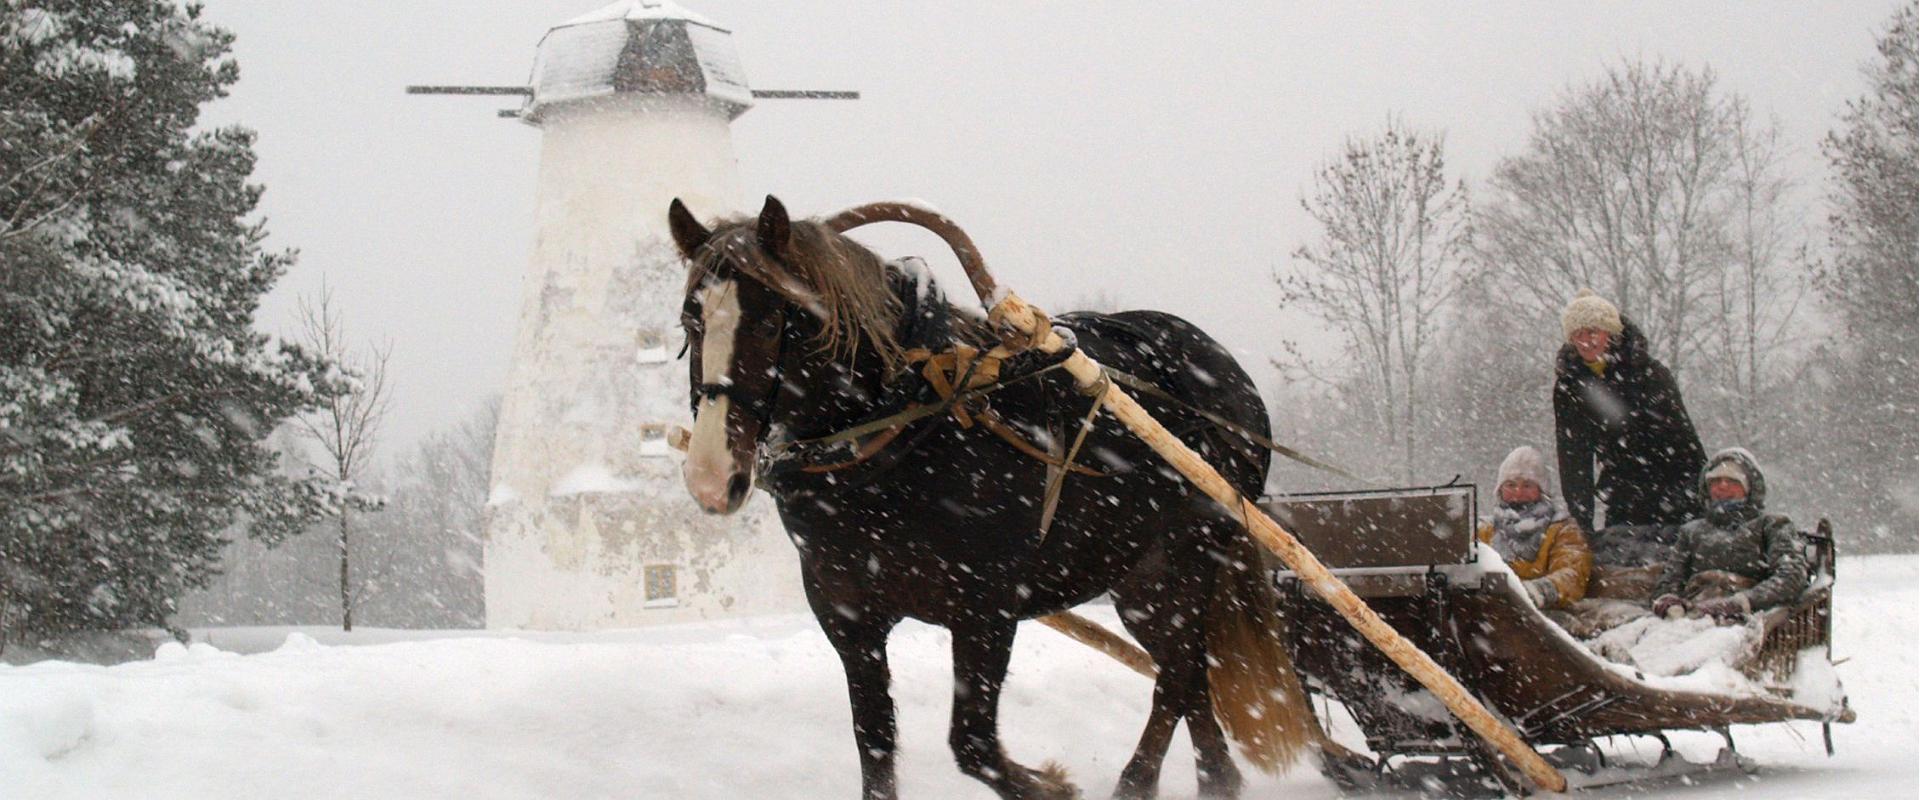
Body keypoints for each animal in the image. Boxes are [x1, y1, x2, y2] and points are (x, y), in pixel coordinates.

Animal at [668, 194, 1313, 798]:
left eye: (771, 324)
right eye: (689, 324)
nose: (711, 478)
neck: (908, 423)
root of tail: (1224, 370)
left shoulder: (987, 608)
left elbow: (973, 744)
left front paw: (1053, 783)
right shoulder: (849, 619)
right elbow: (875, 745)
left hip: (1192, 555)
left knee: (1179, 672)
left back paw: (1136, 782)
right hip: (1139, 580)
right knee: (1191, 670)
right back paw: (1214, 778)